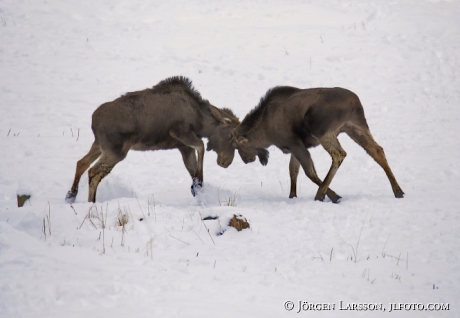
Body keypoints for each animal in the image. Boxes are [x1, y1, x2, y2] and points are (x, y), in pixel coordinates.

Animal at [66, 76, 239, 202]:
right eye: (231, 136)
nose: (226, 162)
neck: (200, 120)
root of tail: (93, 121)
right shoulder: (180, 132)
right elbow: (202, 146)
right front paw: (198, 183)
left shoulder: (183, 146)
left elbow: (192, 168)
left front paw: (197, 187)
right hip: (115, 150)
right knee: (93, 171)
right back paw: (91, 202)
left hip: (99, 145)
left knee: (81, 162)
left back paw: (71, 195)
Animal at [232, 85, 404, 202]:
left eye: (239, 147)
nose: (246, 160)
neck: (265, 130)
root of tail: (354, 102)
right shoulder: (295, 148)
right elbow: (293, 171)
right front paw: (292, 196)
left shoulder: (295, 143)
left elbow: (309, 172)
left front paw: (334, 196)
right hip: (355, 127)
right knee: (377, 150)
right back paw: (398, 191)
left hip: (322, 131)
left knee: (339, 154)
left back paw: (320, 194)